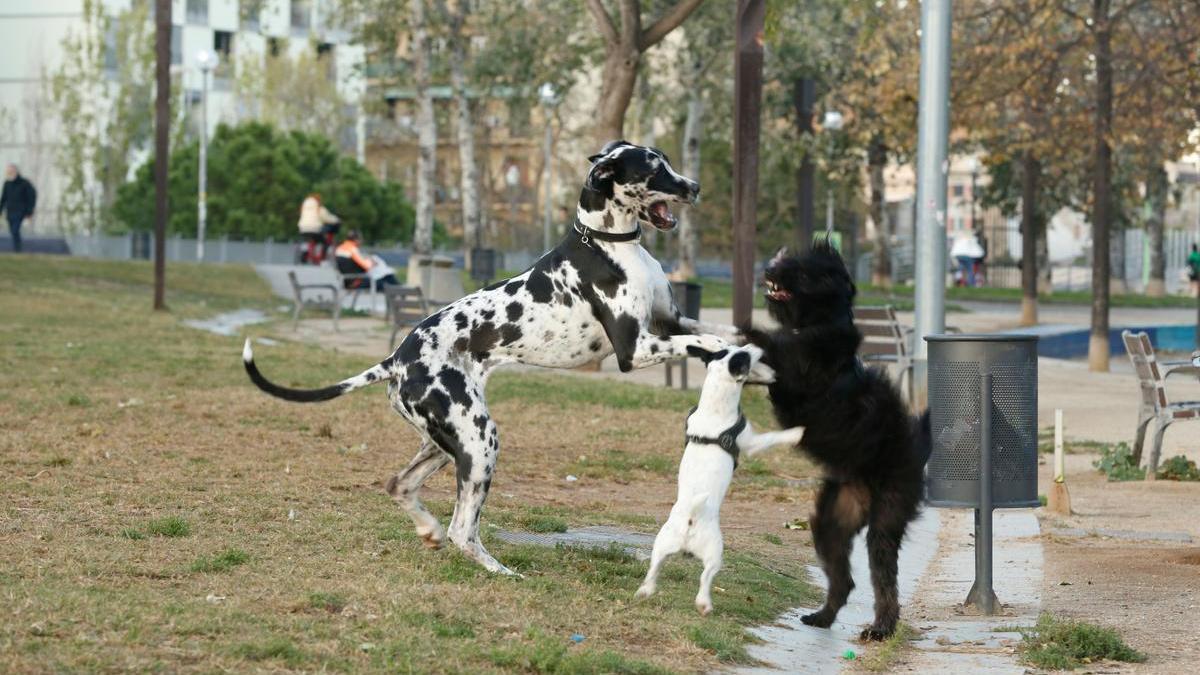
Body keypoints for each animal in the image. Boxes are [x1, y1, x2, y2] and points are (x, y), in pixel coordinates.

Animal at [242, 141, 729, 571]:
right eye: (653, 167)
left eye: (667, 160)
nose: (696, 186)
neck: (608, 243)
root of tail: (397, 359)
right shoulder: (636, 347)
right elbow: (706, 343)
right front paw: (723, 355)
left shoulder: (670, 323)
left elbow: (721, 331)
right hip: (478, 443)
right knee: (462, 529)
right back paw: (498, 569)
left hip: (445, 444)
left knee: (400, 486)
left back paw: (430, 532)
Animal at [638, 343, 806, 612]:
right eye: (745, 355)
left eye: (733, 348)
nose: (754, 344)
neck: (714, 404)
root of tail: (691, 520)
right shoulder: (752, 442)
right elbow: (772, 437)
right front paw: (797, 432)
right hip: (715, 553)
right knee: (705, 578)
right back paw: (704, 603)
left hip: (661, 545)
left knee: (654, 568)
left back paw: (646, 590)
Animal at [744, 242, 931, 638]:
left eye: (801, 270)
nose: (768, 269)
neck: (819, 323)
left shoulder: (791, 367)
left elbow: (759, 339)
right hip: (832, 519)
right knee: (843, 580)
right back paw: (823, 617)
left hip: (886, 517)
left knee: (883, 579)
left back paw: (882, 627)